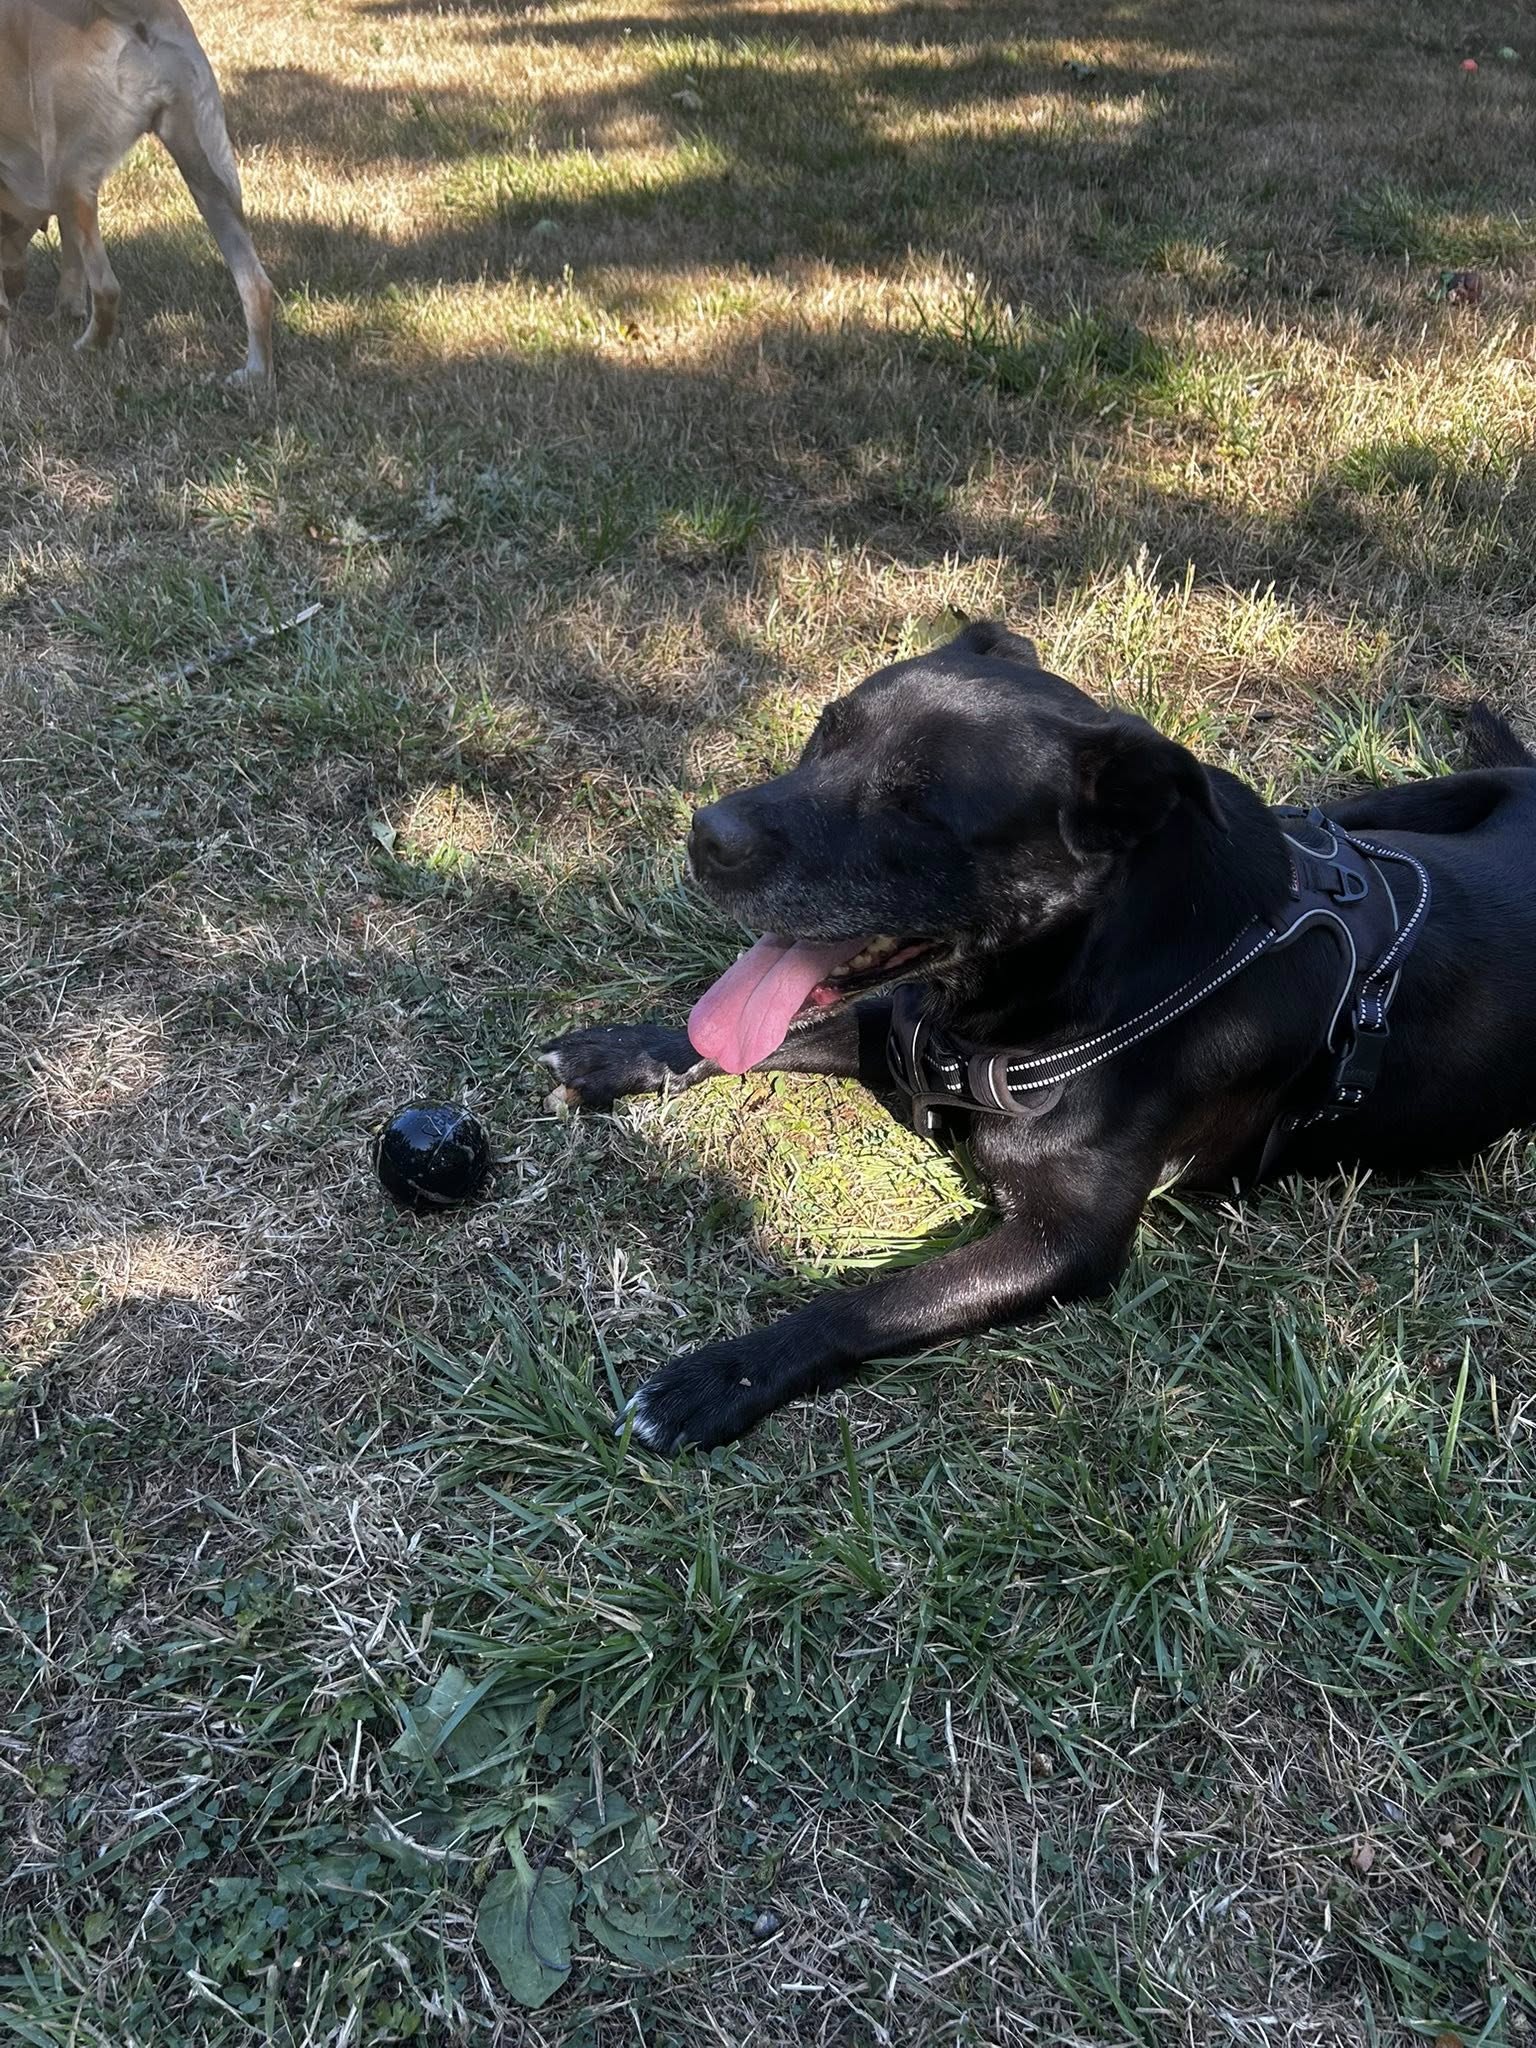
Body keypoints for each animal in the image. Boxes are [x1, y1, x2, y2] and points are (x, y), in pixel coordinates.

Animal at [0, 0, 272, 382]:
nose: (16, 288)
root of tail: (131, 13)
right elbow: (70, 254)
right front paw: (65, 310)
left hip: (67, 174)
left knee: (107, 288)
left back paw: (88, 347)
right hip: (210, 174)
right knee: (257, 286)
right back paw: (254, 375)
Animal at [541, 622, 1536, 1454]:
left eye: (917, 810)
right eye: (825, 732)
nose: (707, 834)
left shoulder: (1066, 1244)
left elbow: (876, 1300)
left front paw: (722, 1377)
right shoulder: (904, 1035)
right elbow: (758, 1036)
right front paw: (617, 1055)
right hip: (1379, 807)